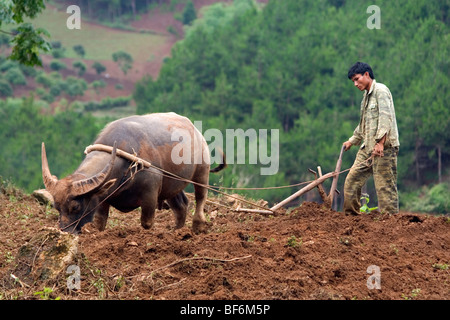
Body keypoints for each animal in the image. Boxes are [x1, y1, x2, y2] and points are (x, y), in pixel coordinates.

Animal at [41, 114, 225, 234]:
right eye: (57, 207)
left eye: (75, 207)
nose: (65, 231)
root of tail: (195, 131)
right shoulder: (102, 199)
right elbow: (100, 222)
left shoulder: (150, 195)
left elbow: (147, 222)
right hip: (172, 183)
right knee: (181, 205)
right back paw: (176, 231)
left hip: (202, 171)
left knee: (200, 197)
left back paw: (197, 226)